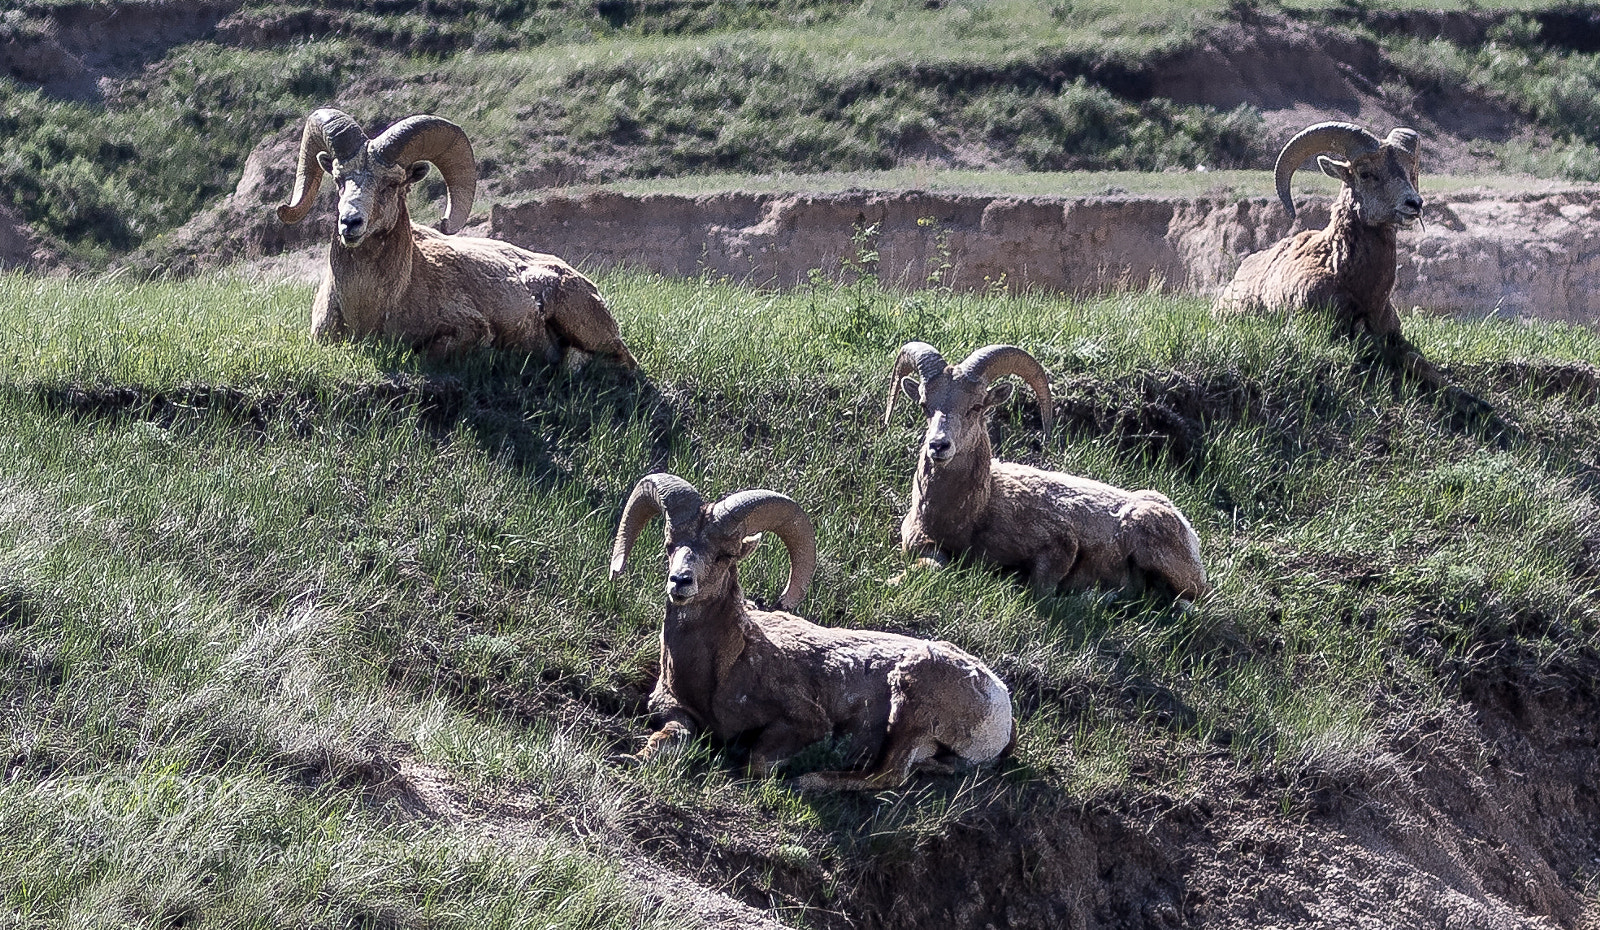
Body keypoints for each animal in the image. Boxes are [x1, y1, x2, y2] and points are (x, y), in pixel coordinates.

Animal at [609, 473, 1016, 791]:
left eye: (725, 554)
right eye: (670, 546)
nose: (680, 581)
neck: (724, 668)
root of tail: (1001, 700)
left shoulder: (803, 723)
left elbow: (758, 763)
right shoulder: (677, 712)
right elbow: (665, 740)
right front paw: (630, 759)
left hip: (913, 702)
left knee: (890, 775)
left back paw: (808, 780)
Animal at [886, 342, 1208, 601]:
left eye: (976, 406)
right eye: (924, 405)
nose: (939, 445)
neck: (975, 513)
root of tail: (1186, 529)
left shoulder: (1061, 547)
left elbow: (1041, 590)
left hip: (1151, 541)